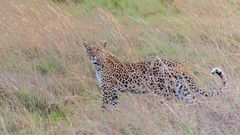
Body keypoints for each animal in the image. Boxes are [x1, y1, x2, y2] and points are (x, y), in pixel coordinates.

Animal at [82, 40, 227, 108]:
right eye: (89, 49)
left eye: (98, 49)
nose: (93, 55)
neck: (98, 64)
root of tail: (179, 64)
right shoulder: (113, 93)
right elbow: (114, 109)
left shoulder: (107, 91)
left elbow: (103, 108)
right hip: (181, 90)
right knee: (196, 102)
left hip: (164, 92)